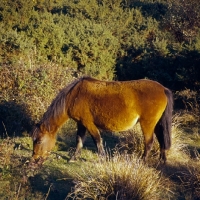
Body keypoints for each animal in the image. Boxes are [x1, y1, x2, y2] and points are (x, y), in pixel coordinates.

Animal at [32, 76, 173, 162]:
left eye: (39, 141)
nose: (34, 158)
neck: (75, 96)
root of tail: (163, 89)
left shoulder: (88, 123)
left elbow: (97, 140)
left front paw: (102, 158)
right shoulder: (81, 124)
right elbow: (79, 140)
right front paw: (73, 158)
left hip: (147, 124)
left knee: (149, 142)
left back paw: (143, 161)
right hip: (157, 124)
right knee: (162, 141)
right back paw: (162, 160)